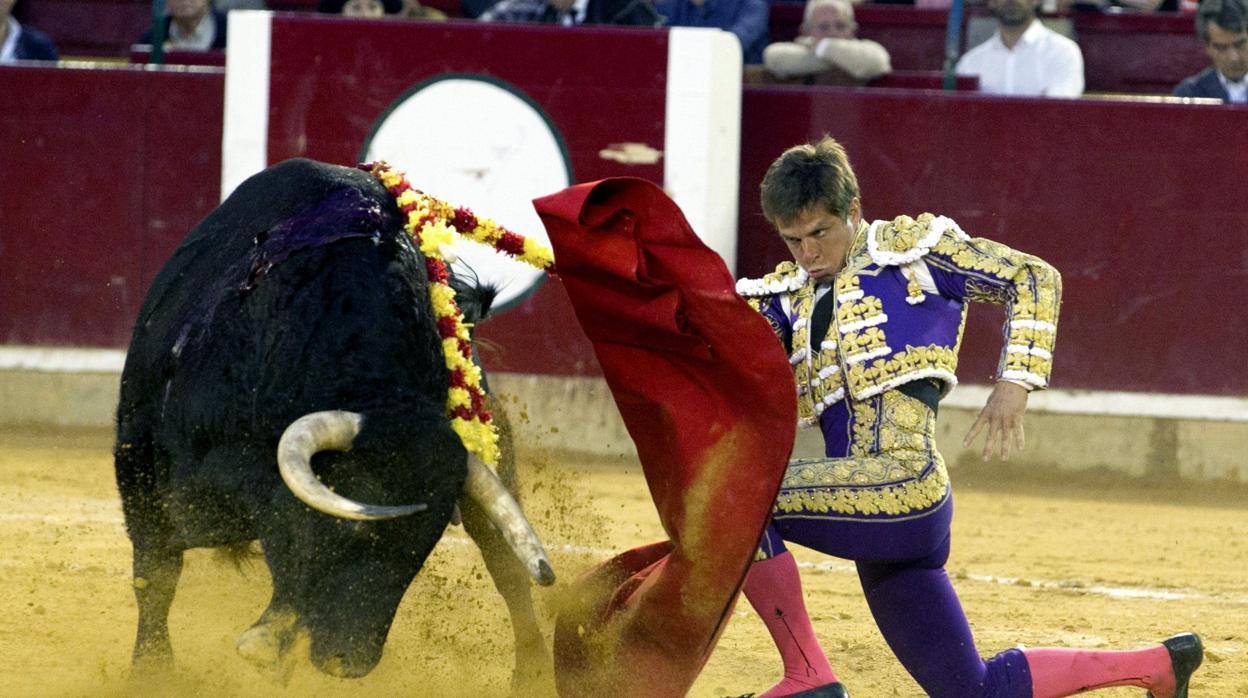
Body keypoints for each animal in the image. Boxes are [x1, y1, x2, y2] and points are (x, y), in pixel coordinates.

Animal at [117, 159, 556, 689]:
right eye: (351, 528)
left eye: (420, 550)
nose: (349, 661)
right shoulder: (138, 461)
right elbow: (156, 575)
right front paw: (150, 674)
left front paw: (269, 641)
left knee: (506, 563)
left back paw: (534, 675)